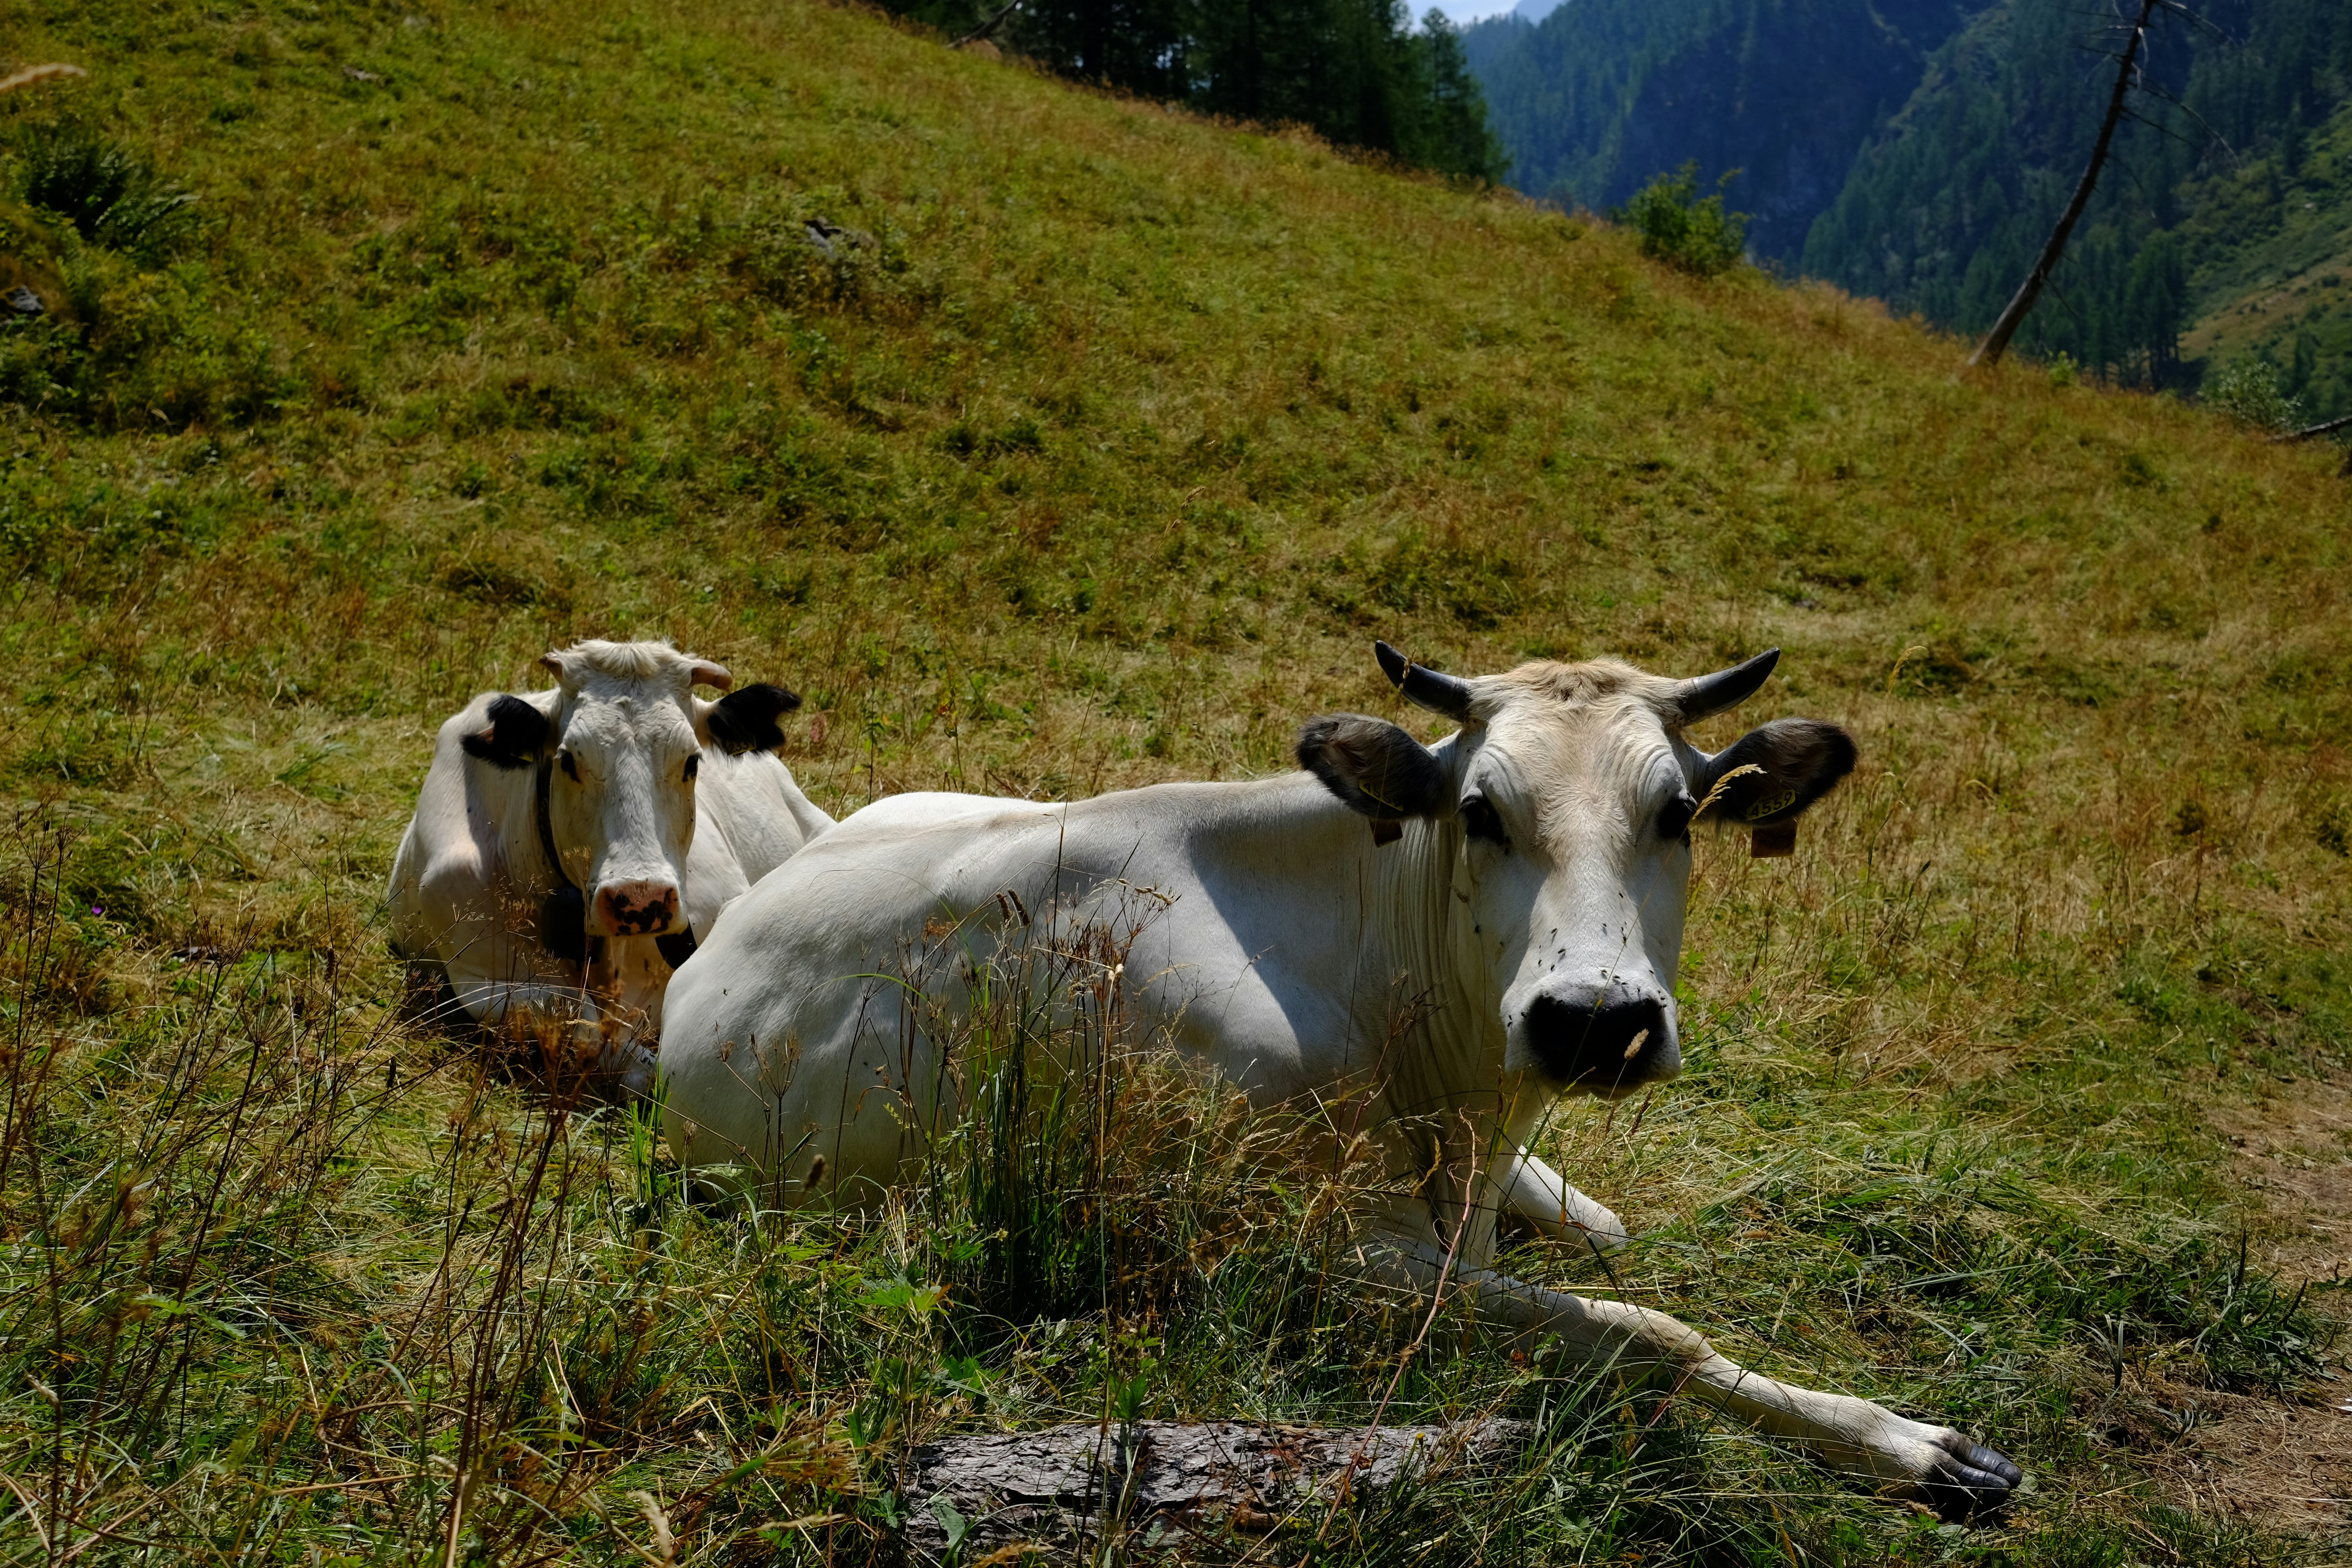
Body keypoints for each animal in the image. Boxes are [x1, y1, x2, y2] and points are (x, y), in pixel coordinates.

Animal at [655, 643, 2022, 1520]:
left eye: (1680, 813)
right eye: (1480, 811)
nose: (1597, 1022)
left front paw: (1912, 1441)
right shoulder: (1291, 1253)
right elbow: (1650, 1330)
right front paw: (1904, 1441)